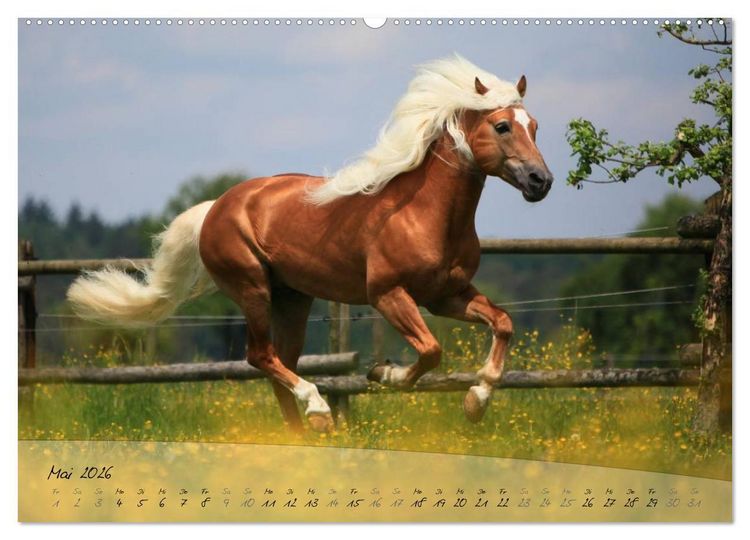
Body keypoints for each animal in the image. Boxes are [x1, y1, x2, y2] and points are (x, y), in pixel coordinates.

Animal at [67, 55, 553, 433]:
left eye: (535, 126)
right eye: (503, 126)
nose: (540, 181)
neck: (424, 214)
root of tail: (215, 207)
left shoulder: (446, 296)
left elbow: (503, 323)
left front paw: (475, 402)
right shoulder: (388, 294)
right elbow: (431, 351)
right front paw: (384, 374)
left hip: (293, 299)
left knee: (279, 363)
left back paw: (301, 437)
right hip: (252, 287)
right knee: (261, 356)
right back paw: (318, 410)